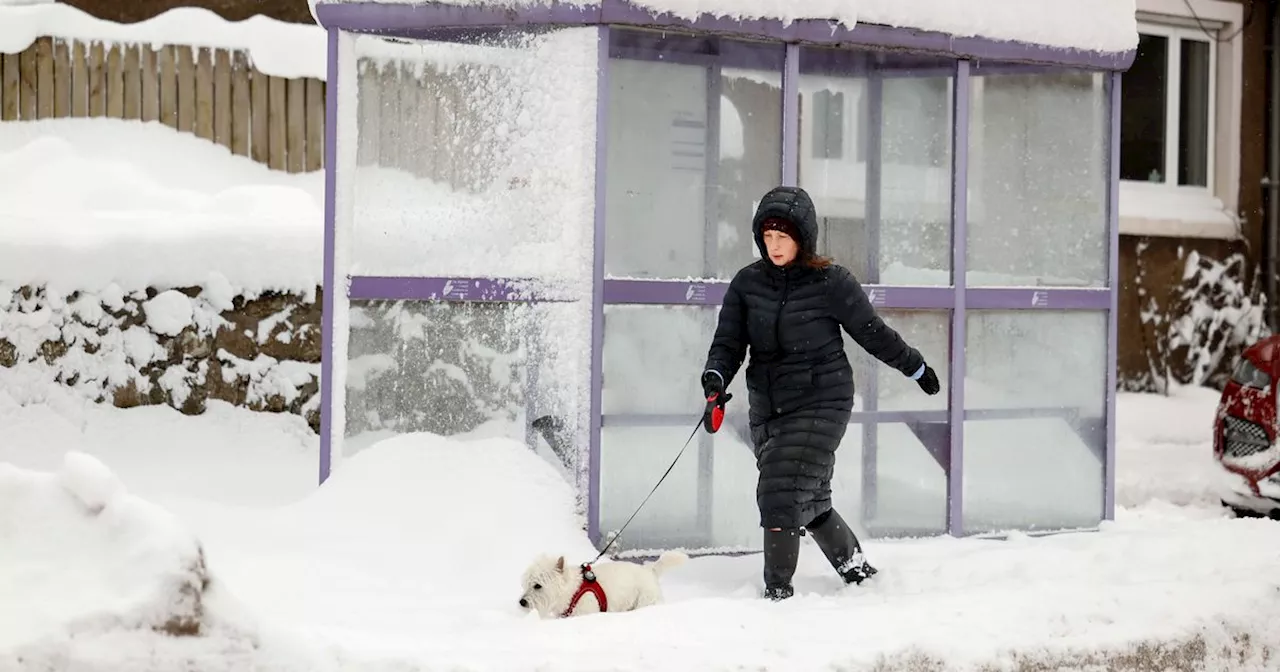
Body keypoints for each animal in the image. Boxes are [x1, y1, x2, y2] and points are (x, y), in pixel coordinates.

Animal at [514, 550, 686, 619]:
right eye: (526, 584)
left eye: (537, 586)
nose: (522, 602)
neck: (571, 593)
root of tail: (650, 570)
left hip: (646, 600)